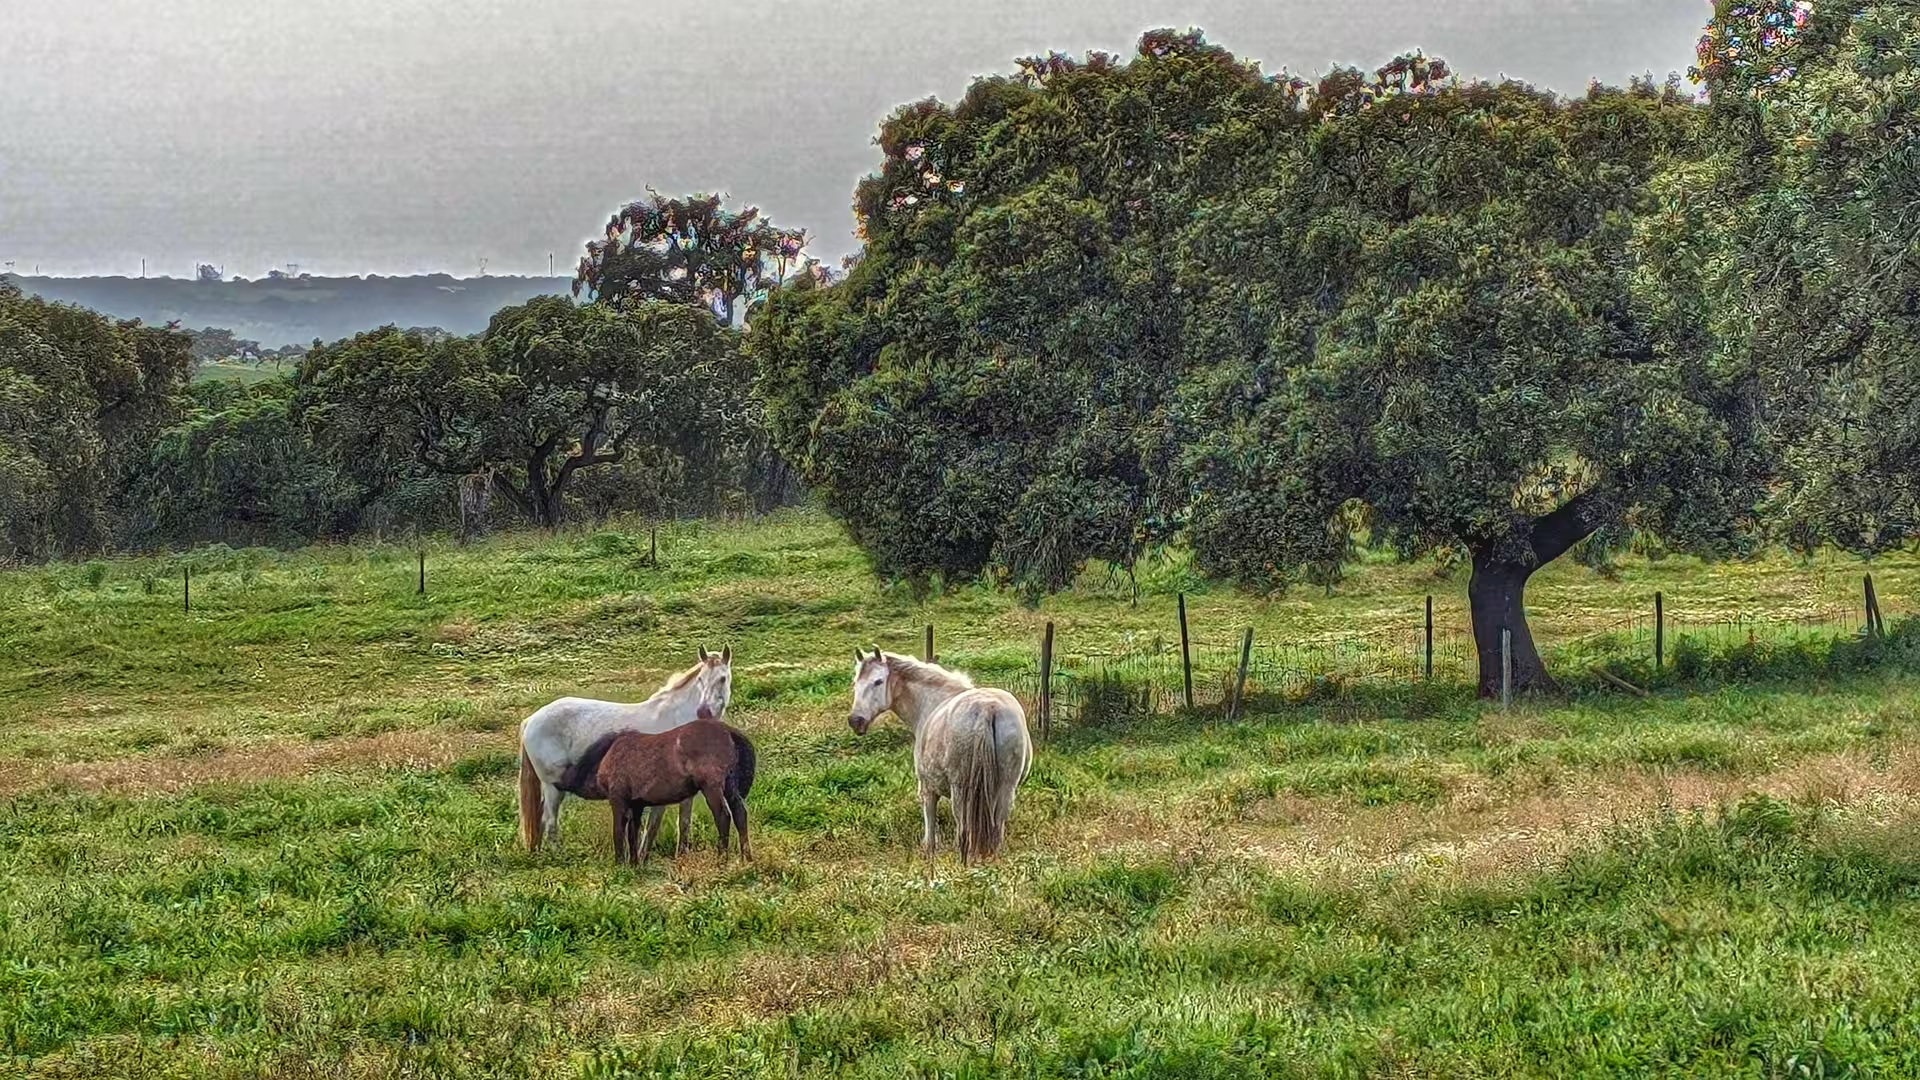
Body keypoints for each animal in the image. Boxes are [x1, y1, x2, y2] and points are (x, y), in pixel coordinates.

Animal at [517, 646, 733, 852]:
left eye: (722, 678)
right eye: (700, 679)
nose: (704, 712)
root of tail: (531, 720)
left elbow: (675, 823)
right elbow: (661, 825)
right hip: (553, 787)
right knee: (550, 822)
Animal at [564, 704, 756, 865]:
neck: (608, 754)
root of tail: (729, 732)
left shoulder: (619, 800)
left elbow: (619, 832)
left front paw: (620, 864)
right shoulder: (637, 804)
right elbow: (633, 834)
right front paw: (634, 864)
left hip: (712, 787)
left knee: (723, 816)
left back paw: (721, 859)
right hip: (730, 787)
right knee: (740, 814)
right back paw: (746, 859)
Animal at [847, 647, 1032, 864]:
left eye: (878, 681)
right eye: (855, 682)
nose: (855, 721)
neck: (931, 702)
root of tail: (987, 709)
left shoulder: (928, 788)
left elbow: (930, 827)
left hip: (961, 792)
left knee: (963, 828)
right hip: (1005, 789)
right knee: (997, 826)